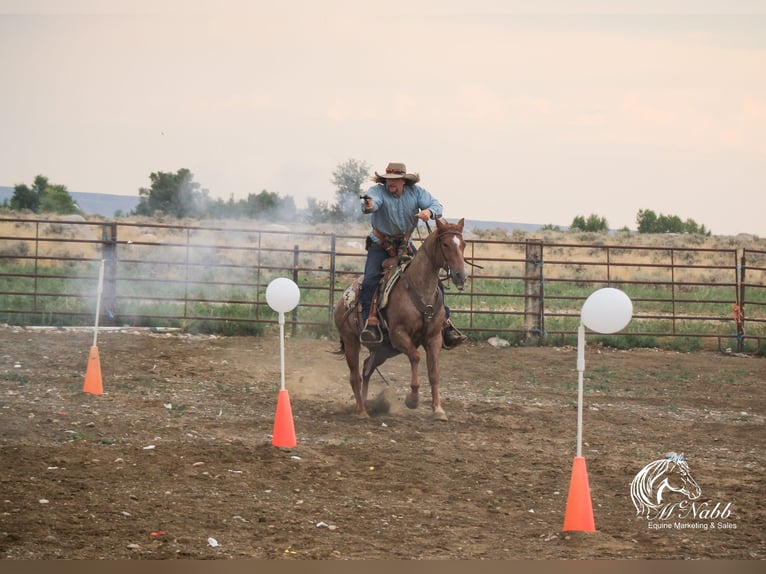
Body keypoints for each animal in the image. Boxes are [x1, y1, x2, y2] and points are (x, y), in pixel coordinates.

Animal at [334, 218, 468, 420]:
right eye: (445, 244)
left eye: (463, 244)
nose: (461, 275)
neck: (419, 289)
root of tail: (343, 299)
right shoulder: (399, 335)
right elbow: (415, 357)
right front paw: (412, 399)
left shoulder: (434, 337)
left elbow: (434, 373)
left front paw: (438, 410)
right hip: (352, 342)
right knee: (355, 376)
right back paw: (361, 411)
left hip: (383, 350)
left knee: (366, 369)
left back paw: (366, 403)